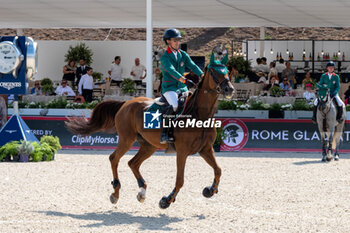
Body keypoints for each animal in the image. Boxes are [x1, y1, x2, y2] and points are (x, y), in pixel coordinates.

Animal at [66, 55, 234, 209]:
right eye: (213, 71)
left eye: (227, 71)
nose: (229, 89)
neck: (200, 114)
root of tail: (126, 103)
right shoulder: (182, 152)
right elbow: (180, 180)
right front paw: (167, 200)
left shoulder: (206, 149)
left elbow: (218, 170)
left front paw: (210, 190)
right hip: (127, 139)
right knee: (114, 158)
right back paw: (116, 193)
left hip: (149, 145)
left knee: (132, 163)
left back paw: (142, 191)